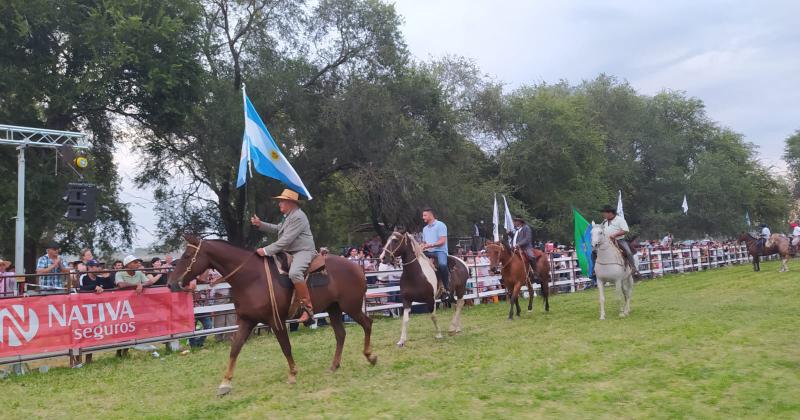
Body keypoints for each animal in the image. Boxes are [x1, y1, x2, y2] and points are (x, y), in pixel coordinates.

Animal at [166, 236, 378, 398]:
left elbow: (285, 347)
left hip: (351, 307)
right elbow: (235, 348)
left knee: (367, 324)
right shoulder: (246, 321)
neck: (251, 278)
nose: (170, 284)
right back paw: (334, 366)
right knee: (341, 334)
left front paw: (292, 374)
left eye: (187, 256)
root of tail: (357, 268)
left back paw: (370, 356)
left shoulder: (276, 321)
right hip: (334, 309)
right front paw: (225, 384)